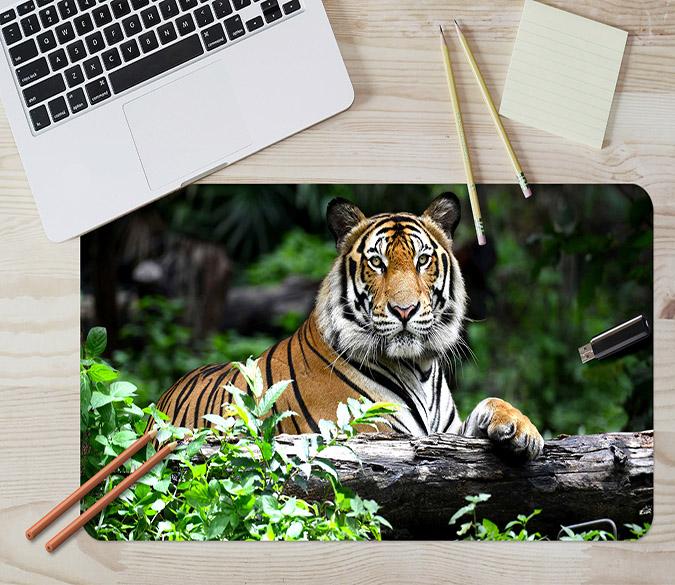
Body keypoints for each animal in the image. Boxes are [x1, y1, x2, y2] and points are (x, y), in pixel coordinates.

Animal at [153, 193, 544, 460]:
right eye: (377, 262)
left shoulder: (447, 434)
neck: (419, 368)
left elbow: (491, 402)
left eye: (422, 260)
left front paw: (522, 430)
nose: (405, 310)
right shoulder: (373, 433)